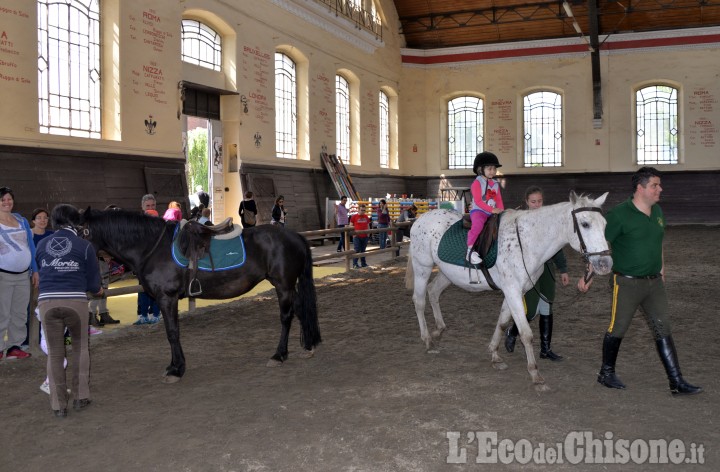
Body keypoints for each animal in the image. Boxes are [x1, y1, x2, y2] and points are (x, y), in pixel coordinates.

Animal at [79, 210, 324, 384]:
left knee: (286, 317)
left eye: (79, 231)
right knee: (301, 310)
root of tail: (295, 237)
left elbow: (172, 333)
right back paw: (308, 346)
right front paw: (175, 366)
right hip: (288, 286)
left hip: (283, 286)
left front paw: (176, 369)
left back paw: (279, 355)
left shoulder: (167, 298)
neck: (152, 247)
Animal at [408, 192, 612, 390]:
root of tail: (422, 218)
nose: (605, 263)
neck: (527, 243)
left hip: (447, 274)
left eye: (604, 224)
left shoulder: (515, 291)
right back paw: (428, 340)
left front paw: (494, 355)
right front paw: (535, 374)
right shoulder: (512, 291)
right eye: (585, 224)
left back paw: (438, 331)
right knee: (419, 301)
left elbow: (503, 323)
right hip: (422, 268)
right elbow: (526, 333)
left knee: (433, 292)